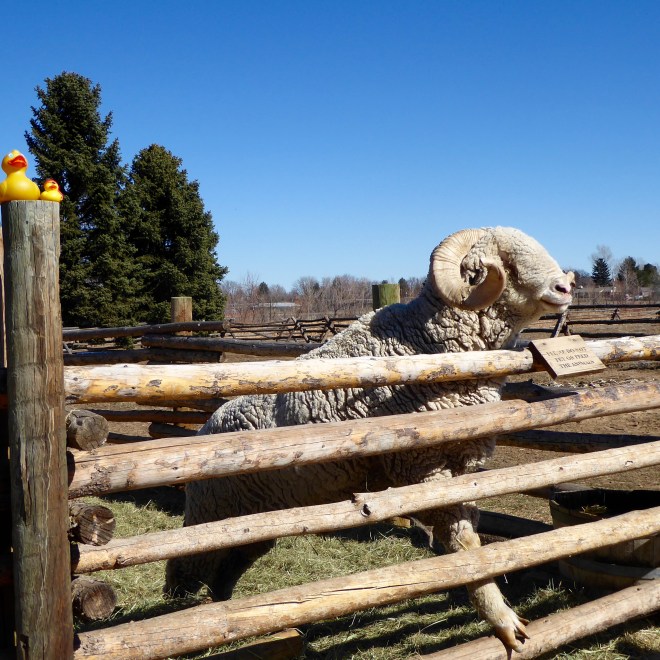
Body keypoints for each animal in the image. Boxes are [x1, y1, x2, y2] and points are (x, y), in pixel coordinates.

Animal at [165, 226, 574, 652]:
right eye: (506, 259)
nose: (566, 287)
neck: (426, 341)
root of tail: (208, 424)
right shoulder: (423, 466)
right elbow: (463, 544)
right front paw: (503, 621)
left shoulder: (461, 467)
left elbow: (469, 534)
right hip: (211, 512)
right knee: (186, 565)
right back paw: (187, 620)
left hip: (253, 522)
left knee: (227, 567)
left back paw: (230, 615)